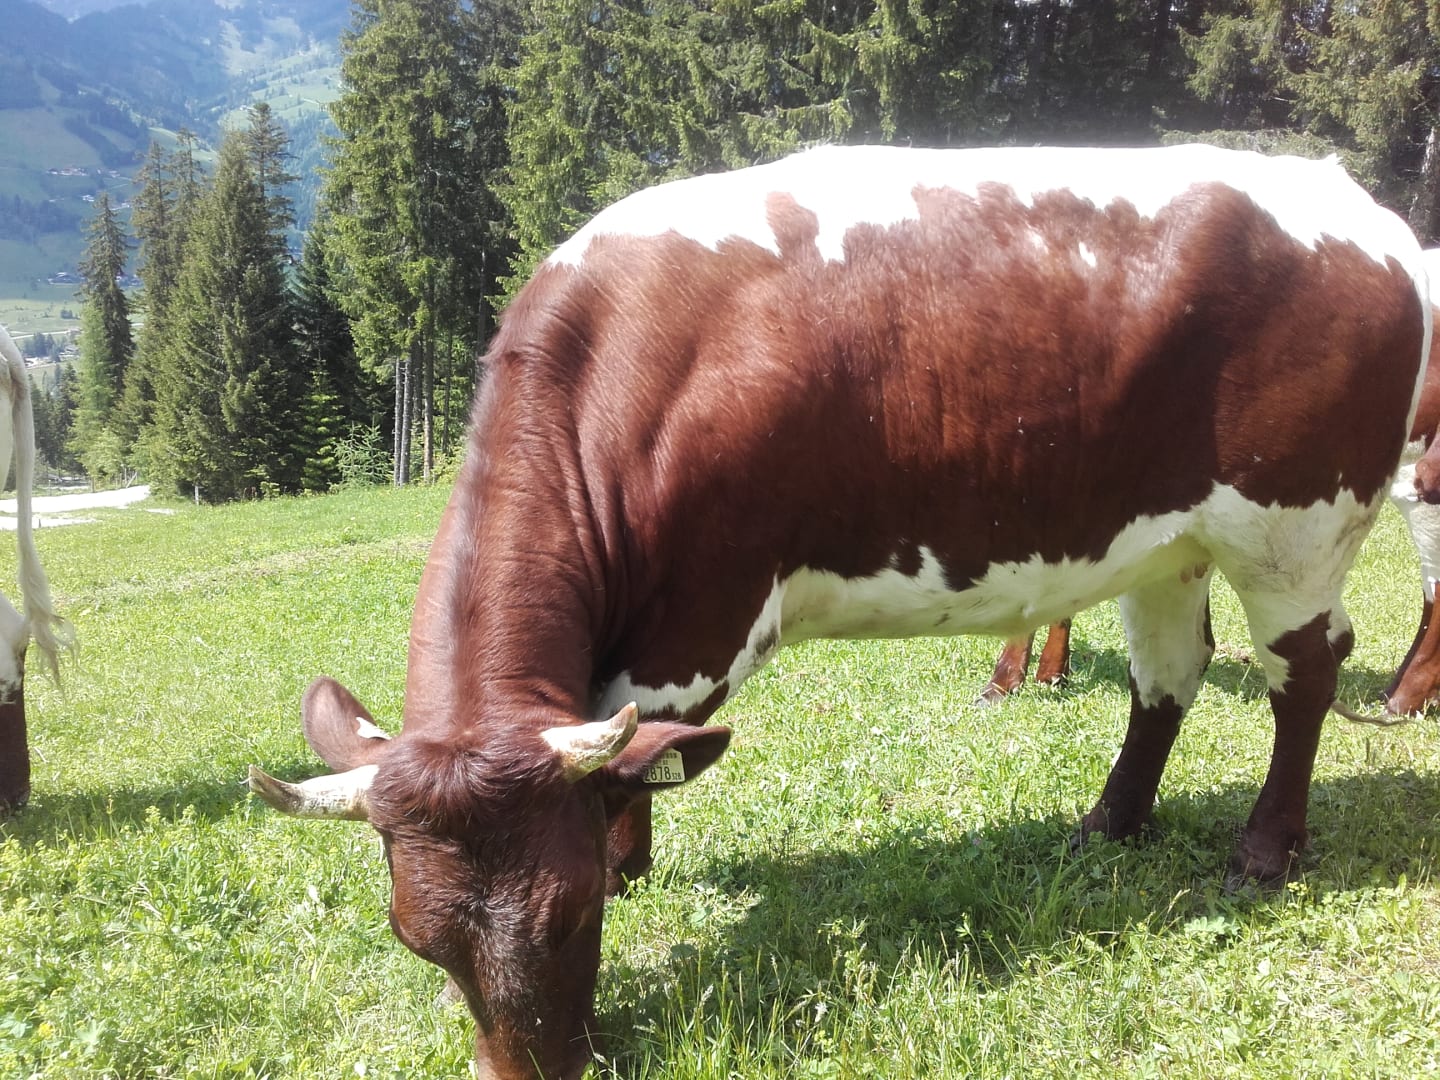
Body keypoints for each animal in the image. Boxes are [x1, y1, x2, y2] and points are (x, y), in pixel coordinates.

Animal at [248, 144, 1430, 1079]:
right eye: (418, 941)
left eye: (569, 915)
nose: (532, 1075)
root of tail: (1359, 208)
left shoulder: (698, 619)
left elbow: (637, 747)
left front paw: (628, 855)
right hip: (1168, 544)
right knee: (1167, 677)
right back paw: (1111, 822)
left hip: (1294, 534)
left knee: (1306, 674)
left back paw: (1266, 847)